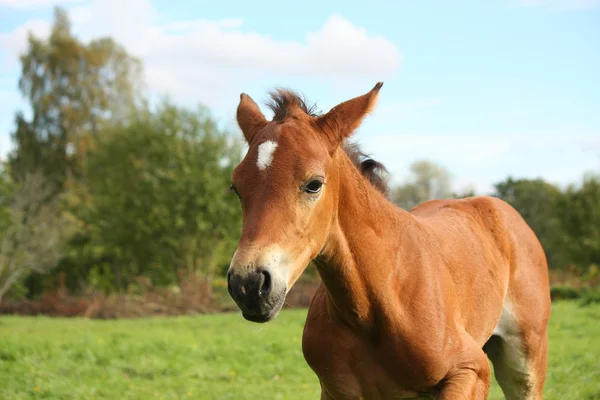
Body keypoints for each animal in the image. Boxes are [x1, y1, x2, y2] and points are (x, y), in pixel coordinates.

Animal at [227, 83, 552, 398]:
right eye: (236, 188)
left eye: (313, 184)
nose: (248, 285)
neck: (377, 306)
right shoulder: (336, 391)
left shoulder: (471, 370)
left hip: (525, 362)